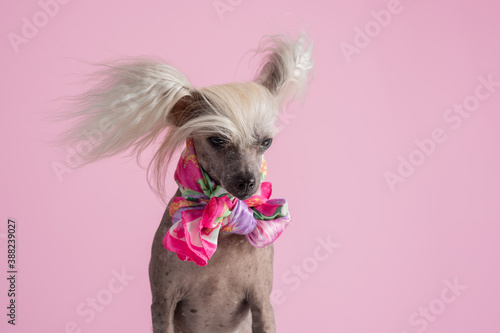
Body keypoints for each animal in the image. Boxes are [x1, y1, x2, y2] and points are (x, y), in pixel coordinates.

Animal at [59, 32, 312, 330]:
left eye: (266, 142)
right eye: (217, 140)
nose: (248, 182)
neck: (222, 221)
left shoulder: (262, 304)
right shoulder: (162, 304)